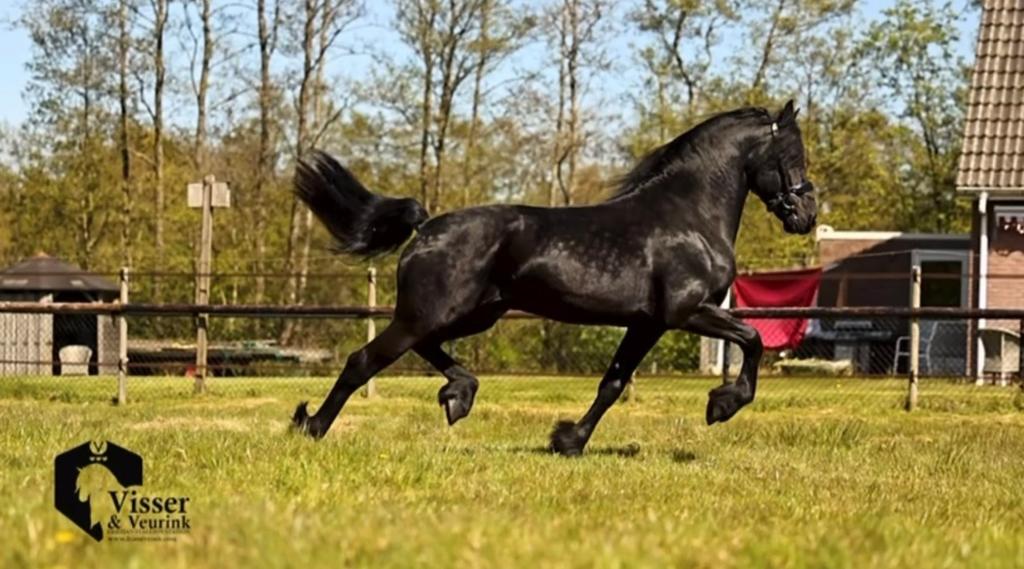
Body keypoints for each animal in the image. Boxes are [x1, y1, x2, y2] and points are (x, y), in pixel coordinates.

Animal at [290, 100, 816, 456]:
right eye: (792, 154)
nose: (806, 215)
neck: (689, 217)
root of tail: (426, 227)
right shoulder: (686, 312)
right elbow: (752, 339)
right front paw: (722, 405)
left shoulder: (646, 323)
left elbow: (613, 383)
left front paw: (568, 440)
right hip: (430, 313)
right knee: (364, 360)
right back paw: (310, 426)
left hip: (473, 314)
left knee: (425, 348)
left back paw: (458, 395)